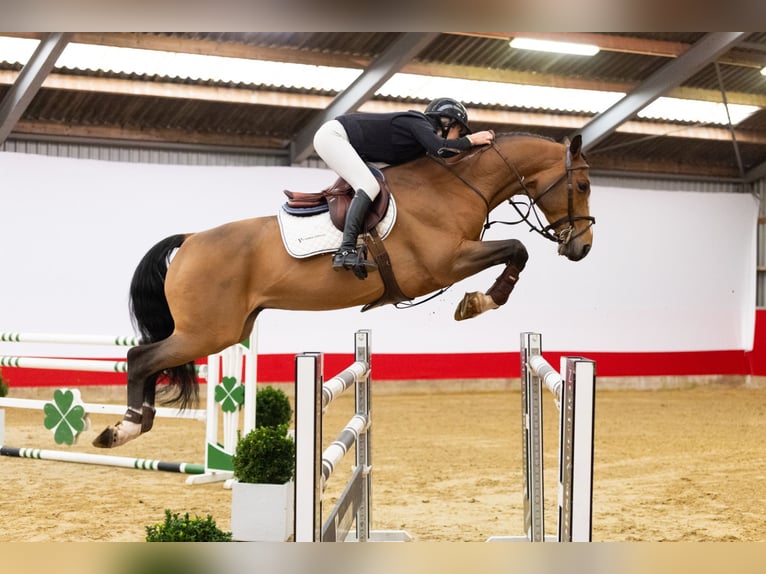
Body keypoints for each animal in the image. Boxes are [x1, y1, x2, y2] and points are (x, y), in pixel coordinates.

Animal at [93, 132, 594, 448]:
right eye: (584, 184)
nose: (583, 248)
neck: (455, 185)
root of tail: (193, 238)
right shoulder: (443, 264)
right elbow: (517, 249)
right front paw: (480, 301)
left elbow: (515, 251)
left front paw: (479, 300)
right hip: (207, 332)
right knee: (140, 358)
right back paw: (124, 429)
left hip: (223, 331)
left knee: (149, 360)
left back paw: (131, 425)